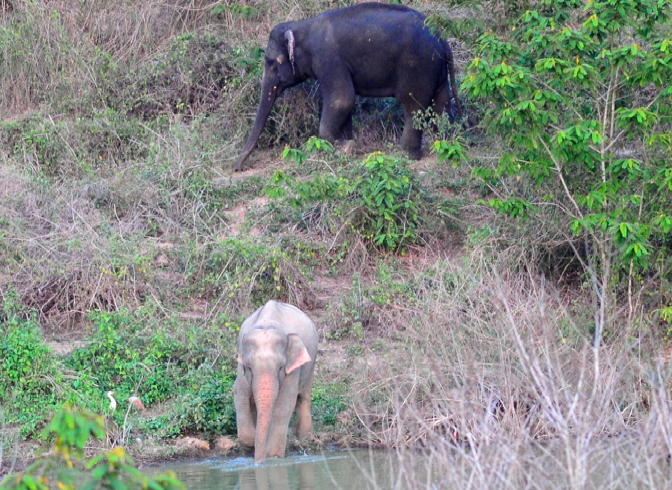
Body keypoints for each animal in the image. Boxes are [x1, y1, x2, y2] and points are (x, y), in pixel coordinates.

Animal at [235, 2, 462, 170]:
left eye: (270, 61)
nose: (236, 168)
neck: (302, 27)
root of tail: (441, 37)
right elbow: (345, 103)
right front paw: (345, 143)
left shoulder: (327, 58)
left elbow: (342, 99)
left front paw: (346, 147)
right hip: (437, 69)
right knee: (441, 103)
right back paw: (444, 146)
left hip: (417, 65)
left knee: (412, 107)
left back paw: (406, 155)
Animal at [235, 298, 318, 464]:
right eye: (249, 367)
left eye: (280, 367)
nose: (258, 463)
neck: (267, 322)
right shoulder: (241, 368)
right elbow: (240, 394)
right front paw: (253, 442)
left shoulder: (292, 368)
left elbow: (284, 404)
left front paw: (273, 456)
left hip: (311, 360)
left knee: (303, 398)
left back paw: (305, 440)